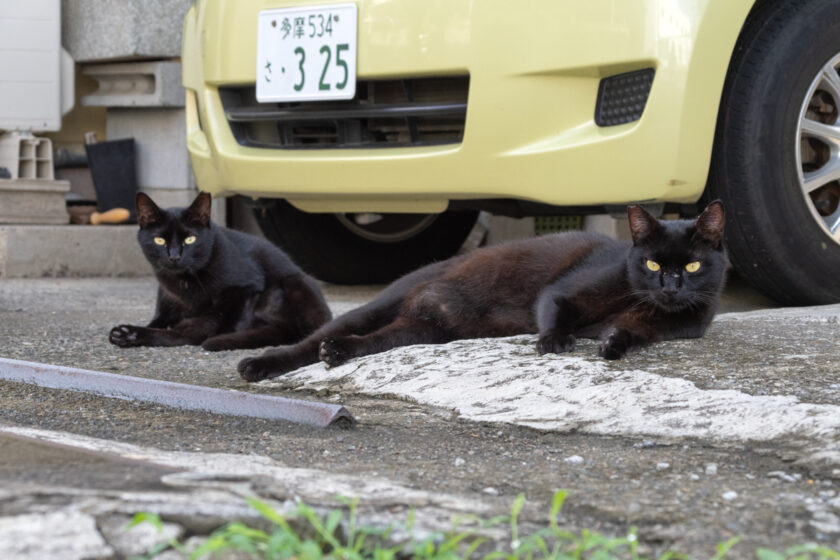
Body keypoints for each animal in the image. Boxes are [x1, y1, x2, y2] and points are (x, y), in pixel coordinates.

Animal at [238, 199, 728, 382]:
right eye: (651, 264)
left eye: (692, 265)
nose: (670, 287)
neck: (641, 299)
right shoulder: (561, 292)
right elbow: (557, 310)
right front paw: (555, 342)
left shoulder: (662, 326)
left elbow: (629, 333)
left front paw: (611, 345)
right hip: (381, 305)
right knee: (311, 342)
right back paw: (258, 365)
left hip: (423, 329)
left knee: (368, 342)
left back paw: (338, 354)